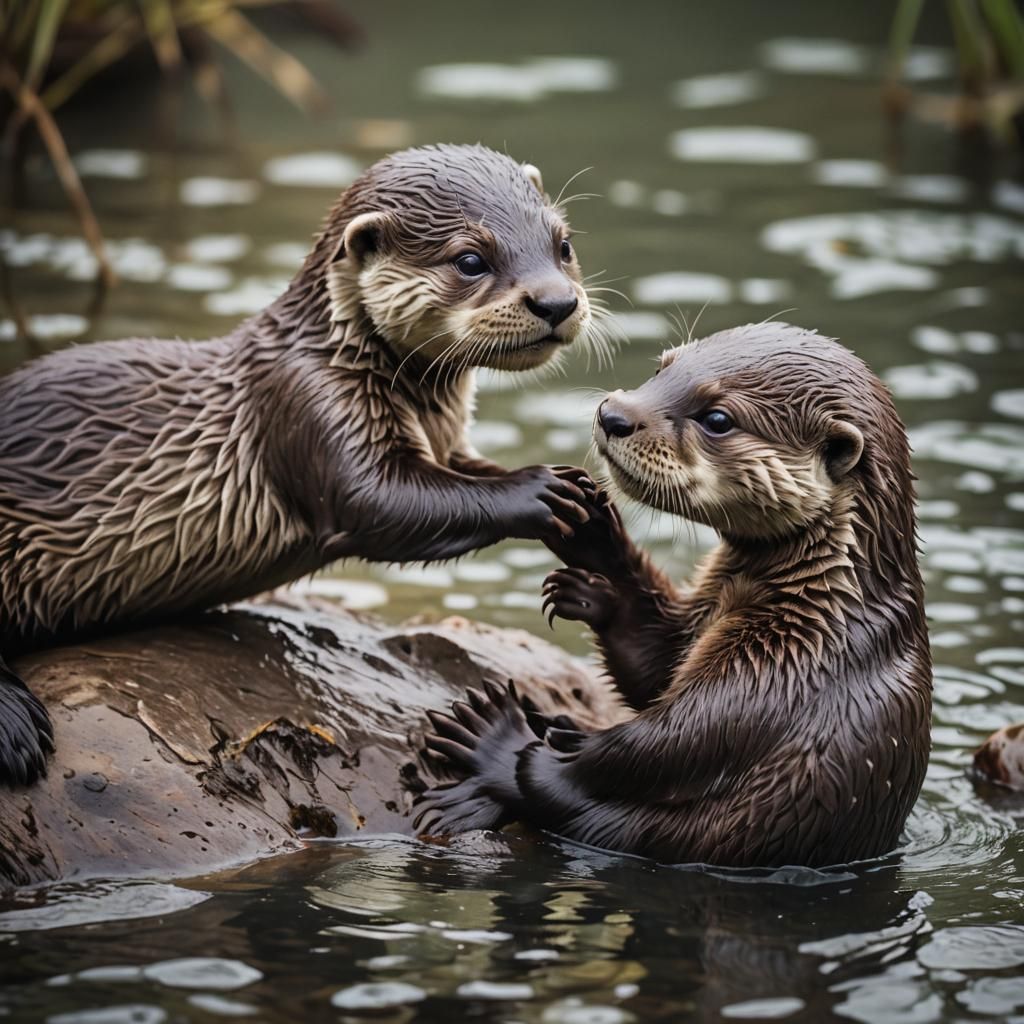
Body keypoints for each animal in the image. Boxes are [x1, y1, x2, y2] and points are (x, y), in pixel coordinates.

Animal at [0, 144, 610, 786]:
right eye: (469, 259)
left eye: (563, 244)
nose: (557, 301)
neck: (342, 354)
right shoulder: (310, 403)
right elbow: (379, 501)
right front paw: (540, 488)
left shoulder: (447, 442)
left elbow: (466, 472)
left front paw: (588, 497)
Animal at [418, 323, 933, 868]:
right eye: (662, 367)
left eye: (717, 419)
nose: (614, 414)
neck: (823, 594)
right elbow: (655, 664)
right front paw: (592, 545)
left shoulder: (791, 664)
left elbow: (680, 737)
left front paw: (533, 745)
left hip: (692, 836)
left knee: (565, 800)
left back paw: (500, 741)